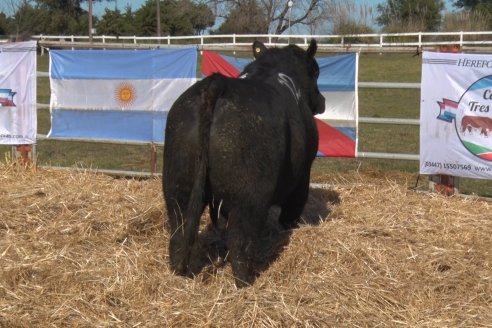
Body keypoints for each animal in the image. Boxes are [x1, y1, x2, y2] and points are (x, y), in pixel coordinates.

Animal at [163, 40, 324, 288]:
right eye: (315, 71)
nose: (322, 101)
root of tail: (218, 83)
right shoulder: (302, 177)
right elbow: (291, 212)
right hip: (249, 198)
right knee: (240, 243)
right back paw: (246, 281)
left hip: (177, 186)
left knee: (178, 232)